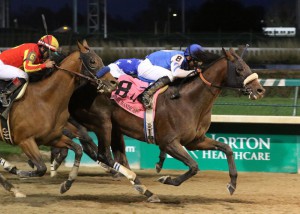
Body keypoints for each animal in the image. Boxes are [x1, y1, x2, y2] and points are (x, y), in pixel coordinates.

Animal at [0, 39, 118, 197]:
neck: (45, 99)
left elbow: (78, 149)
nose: (114, 82)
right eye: (92, 61)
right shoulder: (24, 140)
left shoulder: (52, 137)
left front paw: (66, 184)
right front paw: (16, 170)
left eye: (100, 59)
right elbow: (41, 168)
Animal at [67, 47, 264, 202]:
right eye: (239, 69)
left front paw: (232, 184)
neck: (188, 100)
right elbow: (194, 166)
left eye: (247, 66)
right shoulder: (169, 142)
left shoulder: (196, 141)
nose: (260, 89)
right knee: (101, 153)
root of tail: (79, 89)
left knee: (113, 155)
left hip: (115, 128)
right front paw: (167, 179)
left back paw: (140, 187)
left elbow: (227, 148)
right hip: (103, 123)